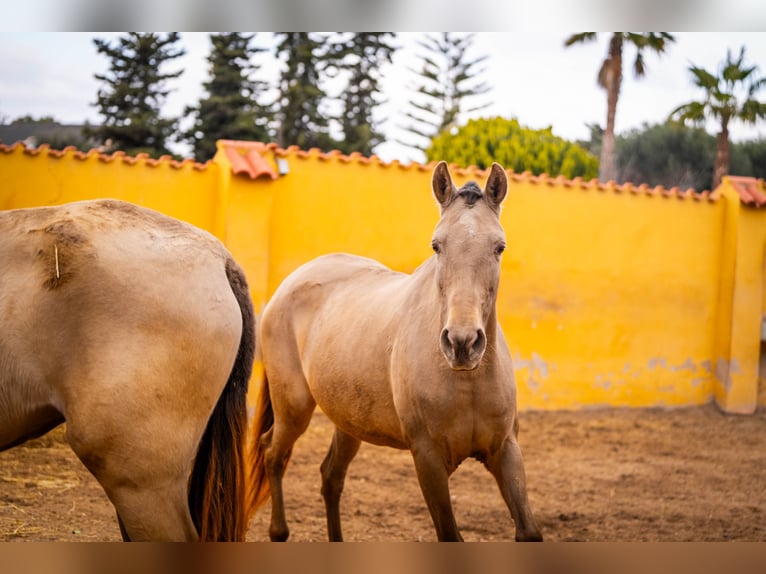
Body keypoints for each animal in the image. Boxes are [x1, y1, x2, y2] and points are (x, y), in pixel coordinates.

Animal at [249, 161, 543, 542]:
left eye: (500, 247)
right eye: (436, 245)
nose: (462, 343)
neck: (468, 382)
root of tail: (291, 283)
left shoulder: (506, 450)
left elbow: (529, 531)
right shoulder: (428, 459)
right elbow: (450, 534)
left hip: (347, 421)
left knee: (331, 477)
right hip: (293, 409)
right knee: (273, 454)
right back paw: (279, 531)